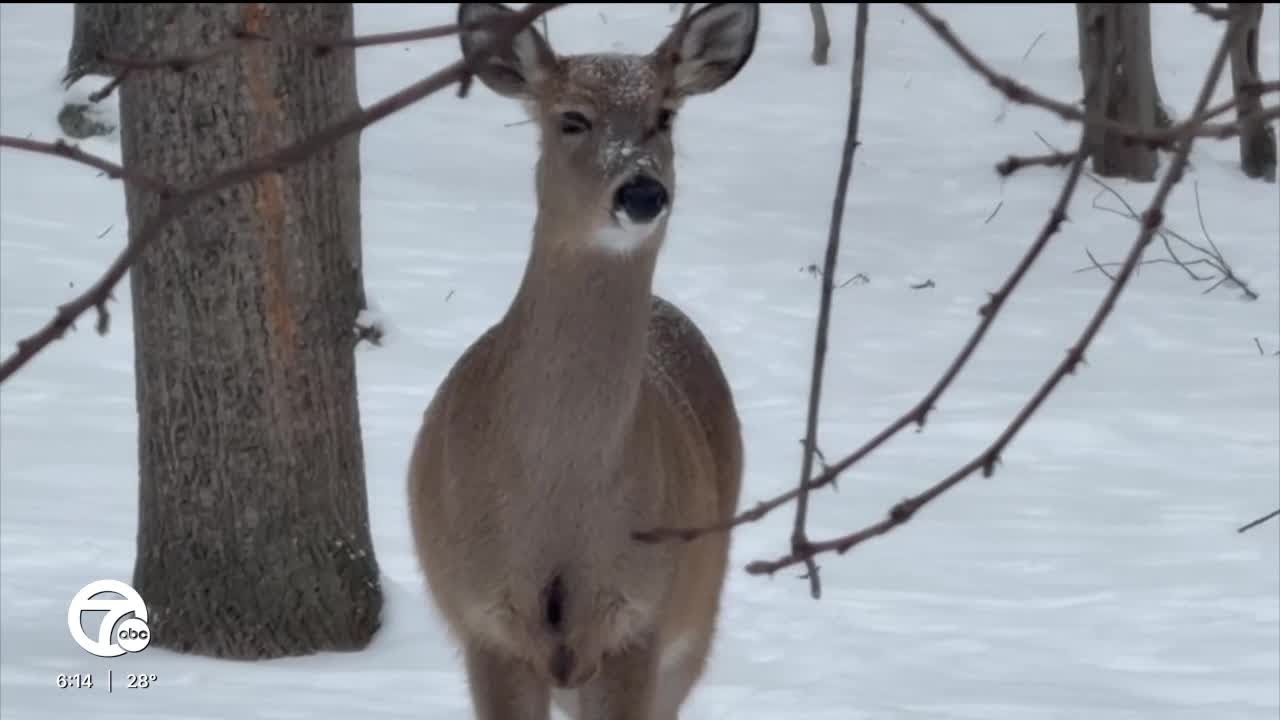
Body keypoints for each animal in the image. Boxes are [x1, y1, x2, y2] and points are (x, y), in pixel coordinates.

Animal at [407, 3, 760, 718]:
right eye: (571, 118)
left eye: (665, 115)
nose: (643, 192)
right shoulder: (485, 619)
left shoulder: (640, 618)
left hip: (696, 617)